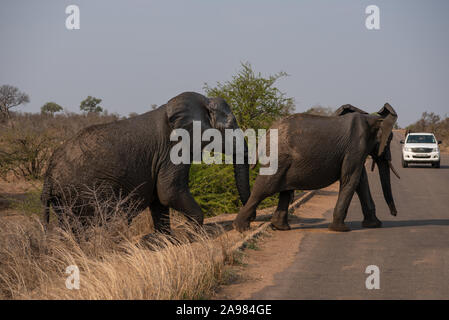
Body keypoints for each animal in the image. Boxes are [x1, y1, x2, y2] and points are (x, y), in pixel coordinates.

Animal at [41, 92, 252, 235]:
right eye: (230, 126)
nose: (246, 224)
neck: (201, 103)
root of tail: (48, 176)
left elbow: (159, 198)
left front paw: (166, 240)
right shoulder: (172, 149)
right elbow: (169, 192)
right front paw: (194, 235)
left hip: (65, 199)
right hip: (84, 192)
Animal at [233, 102, 398, 232]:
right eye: (389, 140)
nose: (395, 214)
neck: (372, 119)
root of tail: (266, 132)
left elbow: (360, 180)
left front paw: (375, 225)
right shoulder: (357, 146)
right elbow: (350, 178)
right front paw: (341, 230)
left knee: (285, 190)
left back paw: (280, 227)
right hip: (278, 158)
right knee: (264, 188)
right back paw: (241, 228)